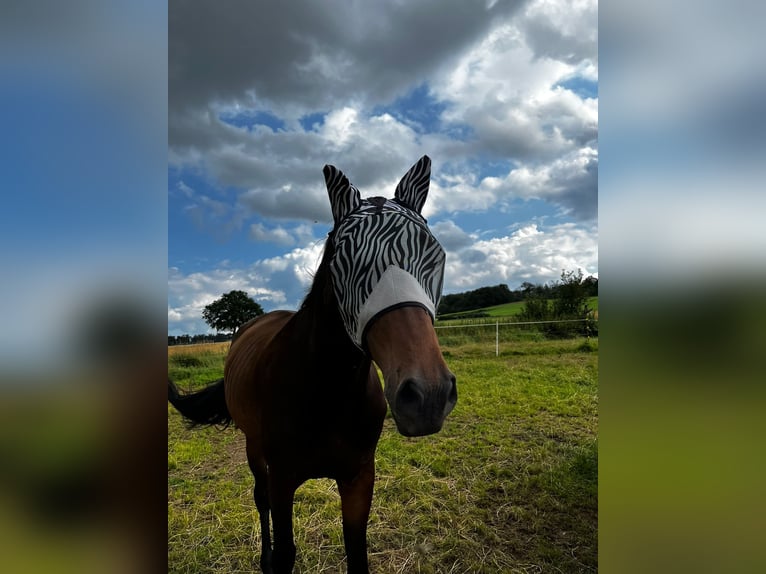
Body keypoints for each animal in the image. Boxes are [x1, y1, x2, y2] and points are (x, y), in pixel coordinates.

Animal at [168, 156, 456, 574]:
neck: (327, 391)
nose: (428, 395)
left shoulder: (358, 477)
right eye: (344, 259)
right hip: (254, 451)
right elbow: (285, 550)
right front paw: (273, 558)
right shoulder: (282, 478)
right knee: (259, 499)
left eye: (436, 254)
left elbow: (356, 553)